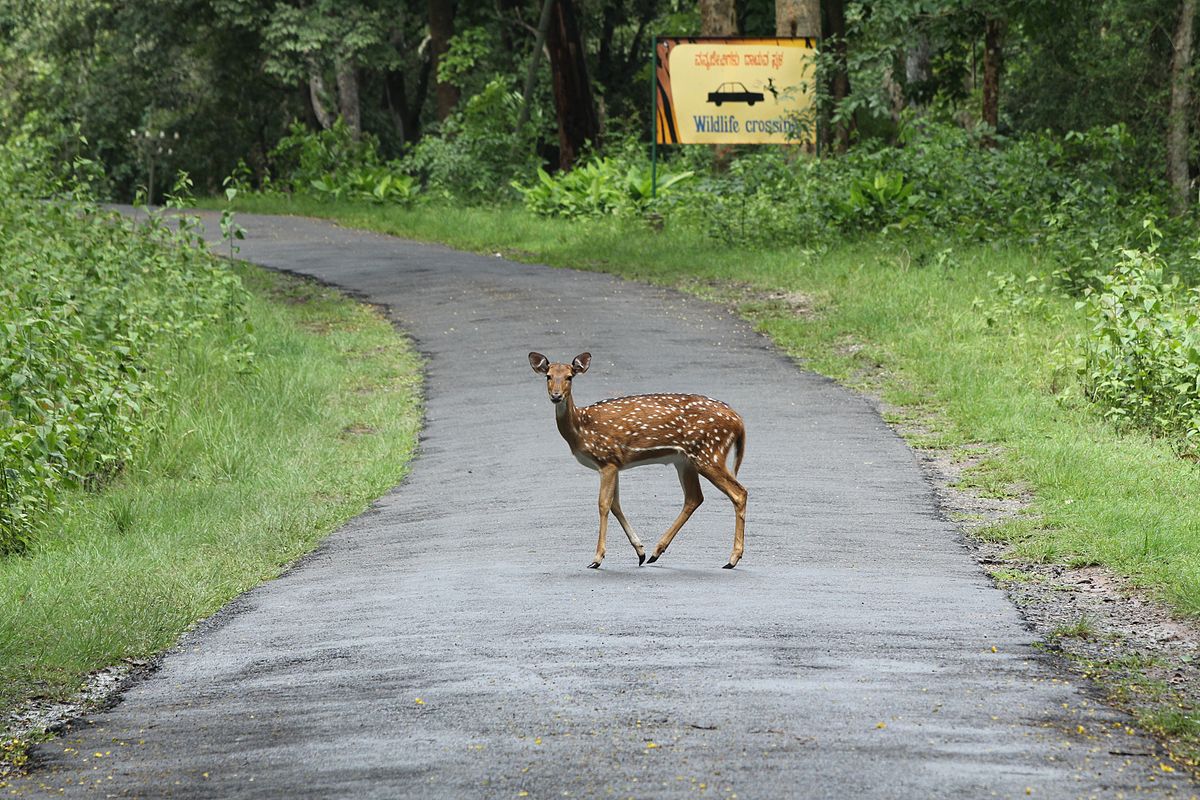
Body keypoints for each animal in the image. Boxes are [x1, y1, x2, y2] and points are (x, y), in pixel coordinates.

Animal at [530, 350, 744, 568]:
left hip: (709, 452)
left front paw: (597, 558)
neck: (581, 429)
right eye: (548, 376)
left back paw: (733, 558)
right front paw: (640, 551)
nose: (556, 396)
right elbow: (615, 505)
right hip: (685, 460)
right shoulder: (615, 463)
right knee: (694, 498)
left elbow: (603, 504)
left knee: (738, 493)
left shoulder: (606, 459)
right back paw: (656, 552)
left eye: (569, 377)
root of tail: (738, 420)